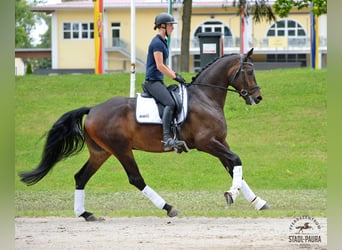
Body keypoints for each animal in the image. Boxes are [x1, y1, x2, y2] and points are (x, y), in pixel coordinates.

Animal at [20, 48, 268, 221]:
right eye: (249, 71)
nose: (257, 98)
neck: (205, 97)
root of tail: (93, 109)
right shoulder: (207, 142)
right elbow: (236, 160)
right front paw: (231, 195)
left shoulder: (219, 142)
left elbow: (233, 167)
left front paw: (258, 202)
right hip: (121, 149)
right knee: (135, 178)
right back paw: (168, 207)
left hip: (101, 152)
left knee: (81, 177)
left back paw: (85, 214)